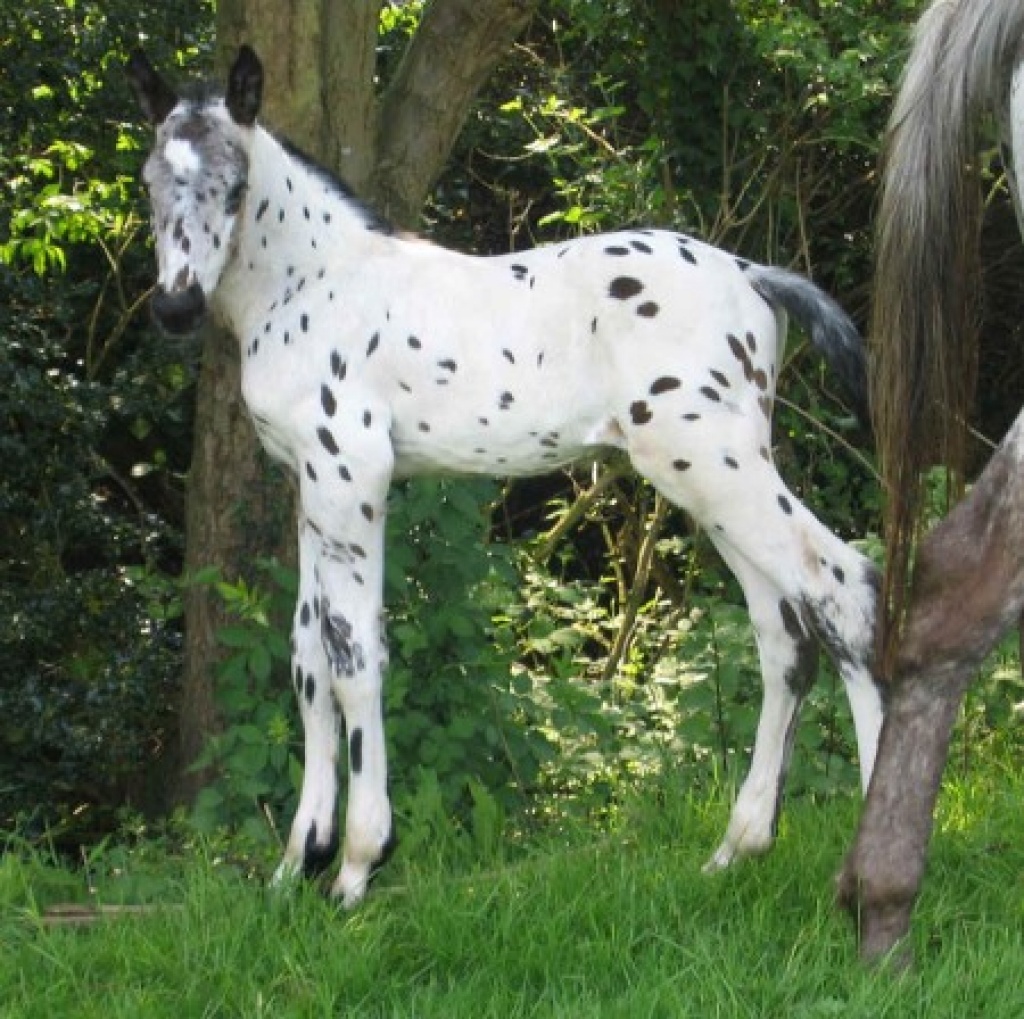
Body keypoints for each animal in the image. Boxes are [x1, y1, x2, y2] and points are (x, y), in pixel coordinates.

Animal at [127, 45, 882, 906]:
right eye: (149, 182)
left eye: (235, 182)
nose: (175, 307)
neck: (313, 283)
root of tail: (753, 274)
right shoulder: (308, 488)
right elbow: (309, 656)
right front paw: (296, 862)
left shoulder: (353, 478)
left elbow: (355, 661)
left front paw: (356, 864)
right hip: (710, 477)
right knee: (785, 631)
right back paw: (736, 848)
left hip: (713, 462)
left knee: (842, 587)